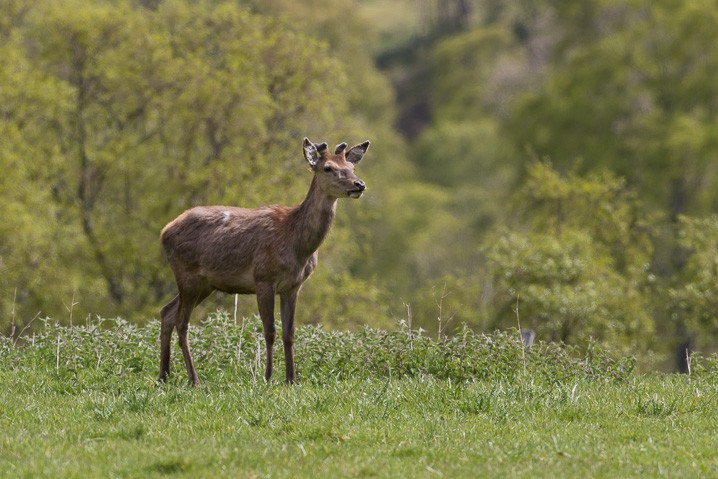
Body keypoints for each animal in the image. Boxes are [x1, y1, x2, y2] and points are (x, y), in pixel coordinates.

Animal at [158, 136, 372, 386]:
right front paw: (268, 377)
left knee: (167, 313)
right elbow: (270, 330)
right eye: (328, 168)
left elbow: (289, 333)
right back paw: (194, 380)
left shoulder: (293, 286)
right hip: (187, 274)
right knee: (182, 323)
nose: (359, 184)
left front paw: (291, 379)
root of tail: (164, 231)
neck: (298, 245)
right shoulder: (263, 279)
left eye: (351, 167)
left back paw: (163, 376)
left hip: (204, 284)